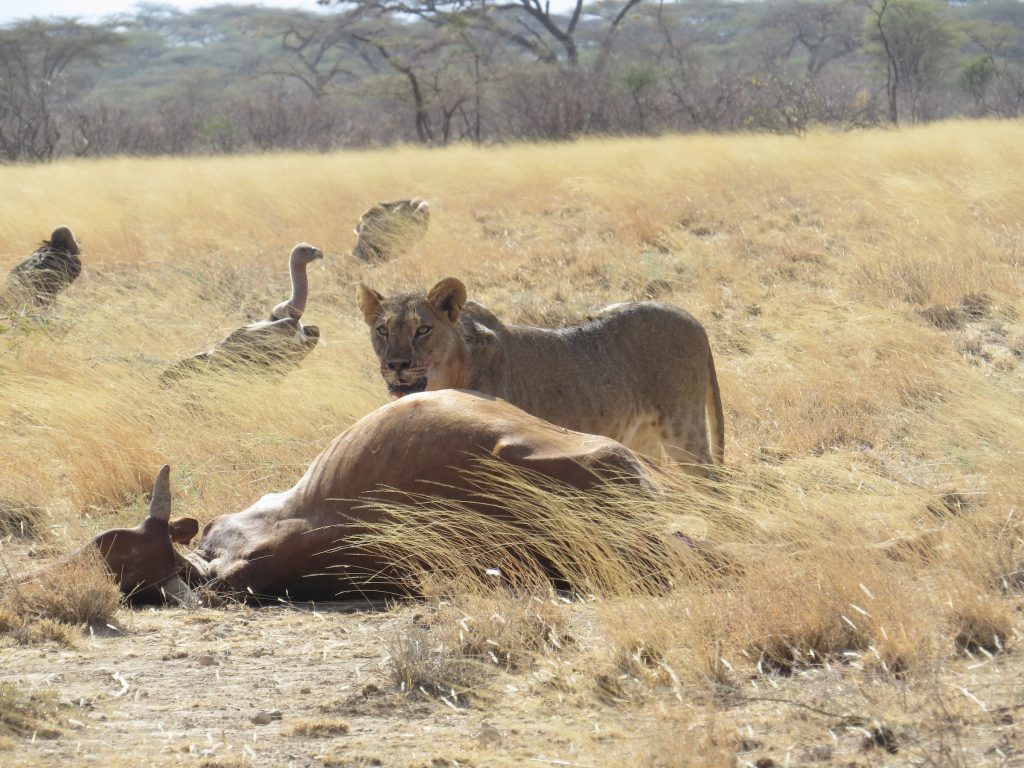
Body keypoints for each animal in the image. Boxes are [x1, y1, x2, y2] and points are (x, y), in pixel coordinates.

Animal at [357, 277, 724, 469]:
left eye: (423, 330)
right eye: (383, 330)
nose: (397, 365)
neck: (445, 378)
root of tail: (695, 321)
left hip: (683, 427)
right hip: (642, 436)